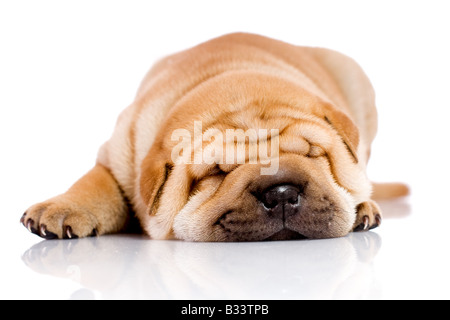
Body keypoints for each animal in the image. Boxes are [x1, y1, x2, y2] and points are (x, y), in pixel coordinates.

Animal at [20, 33, 408, 241]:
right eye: (217, 173)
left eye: (313, 154)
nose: (281, 192)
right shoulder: (119, 153)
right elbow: (96, 182)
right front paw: (62, 206)